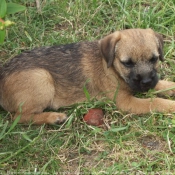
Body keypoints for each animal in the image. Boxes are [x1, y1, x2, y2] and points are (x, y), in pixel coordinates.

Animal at [1, 28, 175, 124]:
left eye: (154, 59)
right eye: (127, 63)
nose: (146, 82)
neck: (110, 67)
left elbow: (159, 84)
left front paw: (169, 86)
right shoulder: (125, 102)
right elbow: (155, 102)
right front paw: (171, 105)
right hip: (42, 78)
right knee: (20, 118)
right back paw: (53, 117)